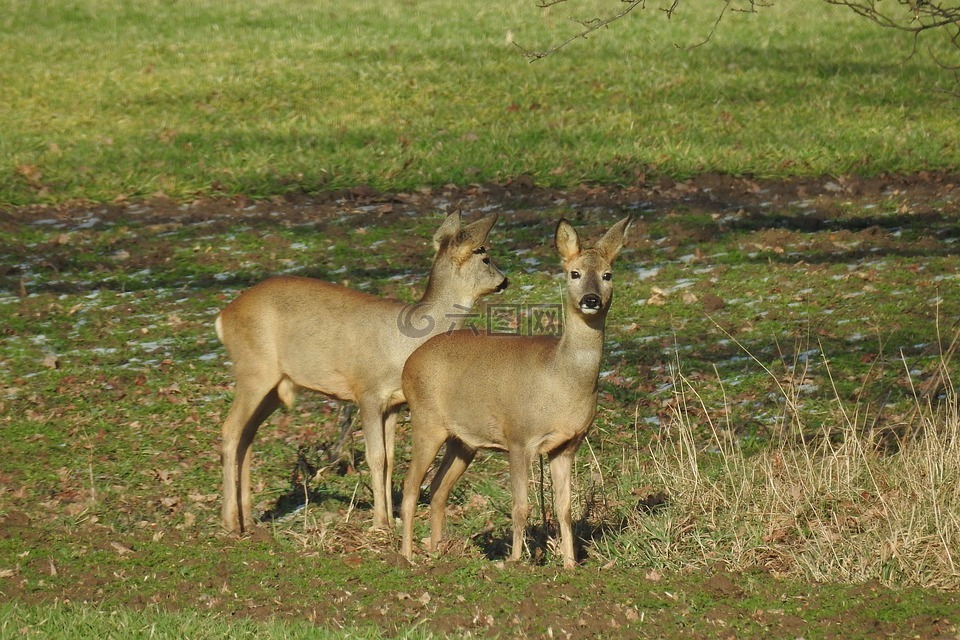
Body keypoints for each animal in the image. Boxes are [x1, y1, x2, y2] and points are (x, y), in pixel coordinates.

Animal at [215, 212, 506, 532]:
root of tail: (223, 317)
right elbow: (375, 456)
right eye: (485, 257)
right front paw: (380, 522)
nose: (505, 281)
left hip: (274, 386)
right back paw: (229, 523)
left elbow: (390, 458)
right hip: (253, 369)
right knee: (230, 430)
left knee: (247, 435)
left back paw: (249, 522)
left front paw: (391, 517)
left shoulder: (394, 402)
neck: (405, 341)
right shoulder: (367, 391)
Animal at [400, 218, 632, 568]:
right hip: (426, 420)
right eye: (574, 273)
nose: (591, 299)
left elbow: (565, 509)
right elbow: (521, 507)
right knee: (411, 485)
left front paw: (570, 564)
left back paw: (438, 549)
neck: (560, 379)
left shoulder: (567, 445)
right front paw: (515, 562)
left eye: (608, 274)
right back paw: (406, 555)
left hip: (463, 440)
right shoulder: (519, 437)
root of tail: (410, 362)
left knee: (438, 488)